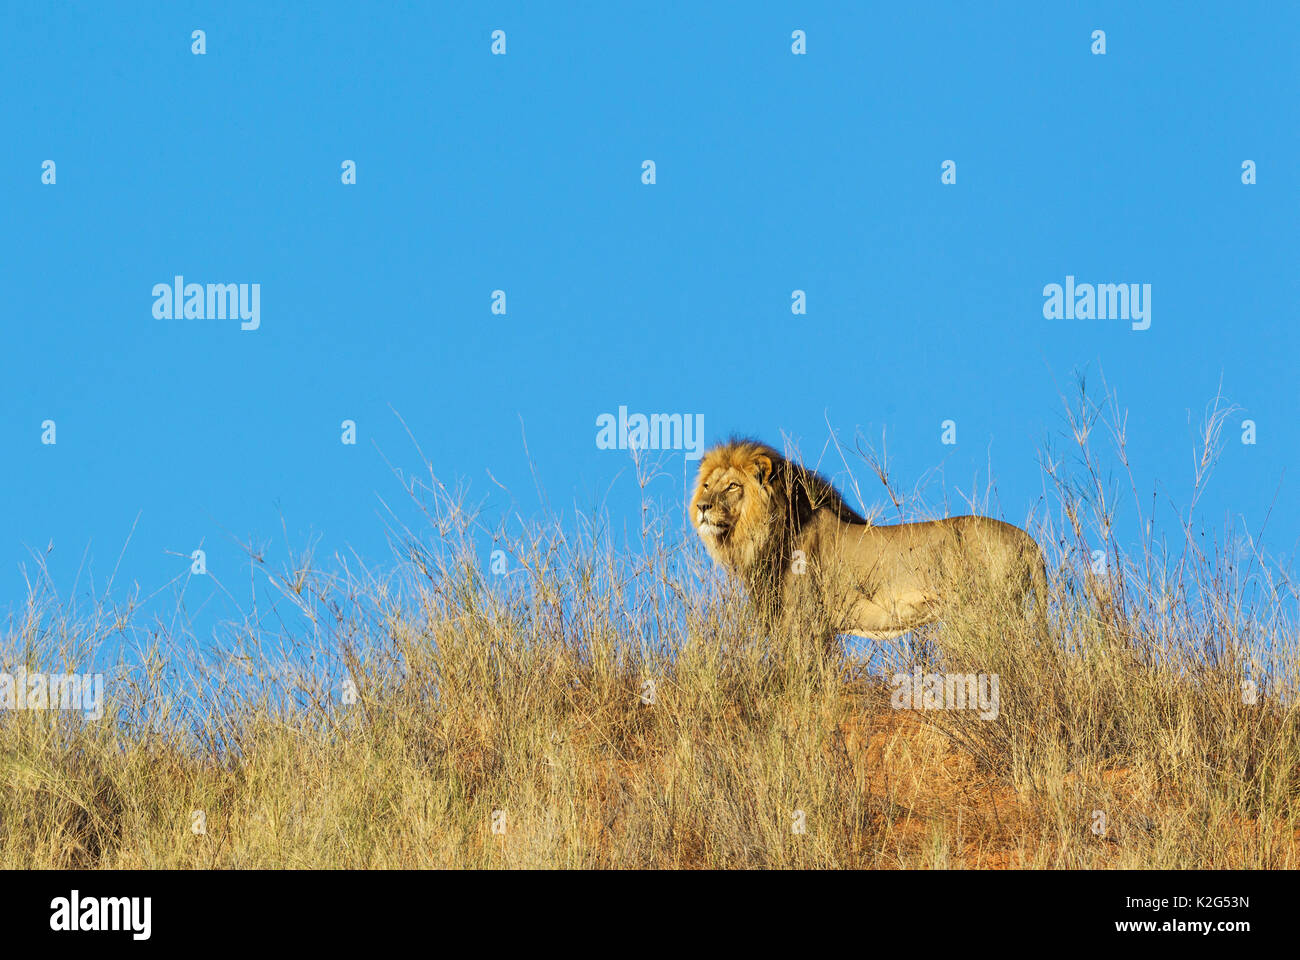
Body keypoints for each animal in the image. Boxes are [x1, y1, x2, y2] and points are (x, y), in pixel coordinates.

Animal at [691, 437, 1045, 640]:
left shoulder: (804, 622)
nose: (702, 507)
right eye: (707, 485)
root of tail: (1027, 540)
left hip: (988, 612)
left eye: (732, 486)